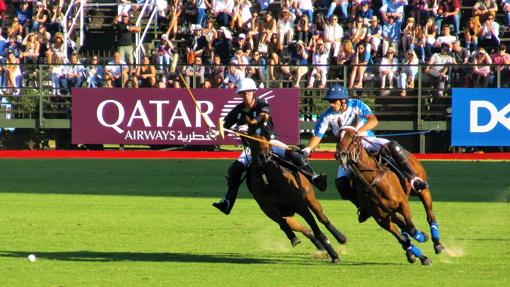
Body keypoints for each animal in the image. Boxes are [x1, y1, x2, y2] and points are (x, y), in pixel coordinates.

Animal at [244, 122, 346, 264]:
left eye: (266, 132)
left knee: (322, 219)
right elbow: (283, 224)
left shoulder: (300, 205)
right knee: (305, 230)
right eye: (250, 136)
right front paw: (294, 239)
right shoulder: (269, 209)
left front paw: (334, 255)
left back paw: (340, 237)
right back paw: (319, 248)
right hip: (289, 214)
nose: (263, 157)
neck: (268, 177)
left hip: (310, 198)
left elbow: (318, 230)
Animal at [334, 127, 434, 266]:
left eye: (354, 137)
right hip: (390, 212)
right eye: (337, 137)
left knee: (430, 215)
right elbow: (403, 237)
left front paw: (422, 237)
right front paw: (421, 256)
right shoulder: (381, 219)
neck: (371, 180)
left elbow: (411, 229)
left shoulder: (402, 203)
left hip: (422, 190)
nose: (340, 155)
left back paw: (437, 243)